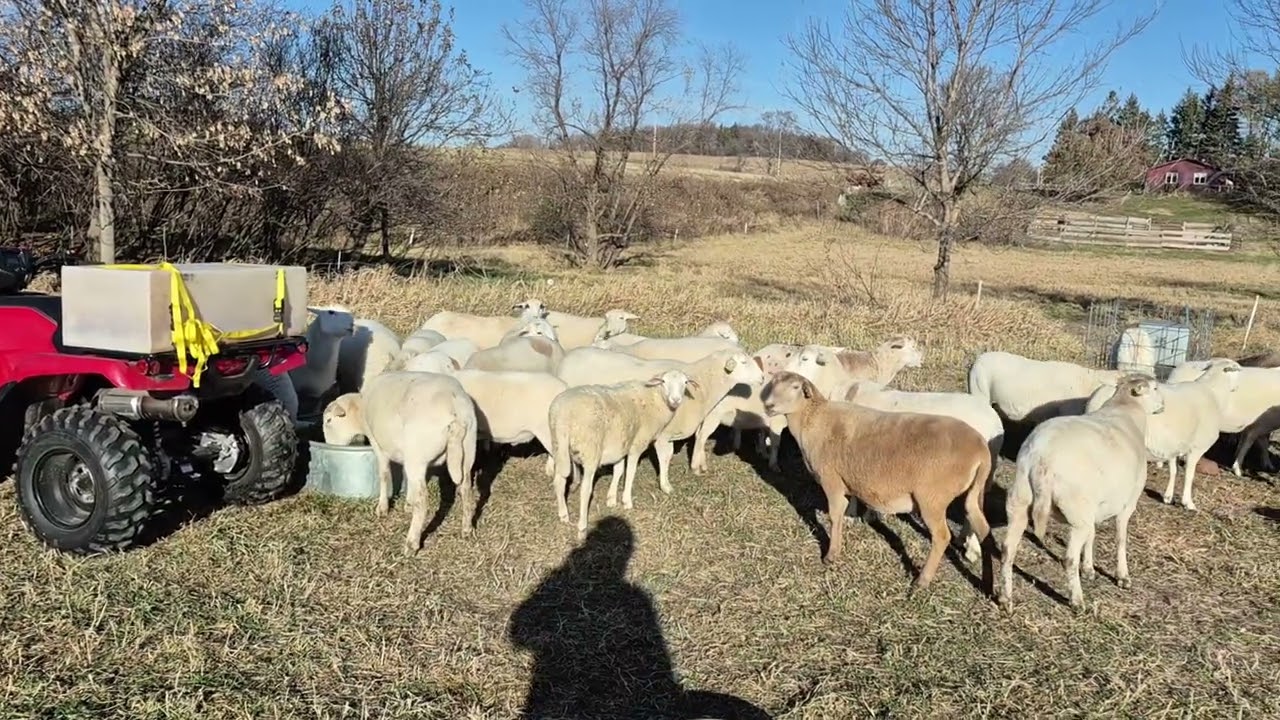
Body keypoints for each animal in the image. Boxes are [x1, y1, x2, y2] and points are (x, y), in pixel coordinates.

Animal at [321, 371, 478, 556]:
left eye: (328, 421)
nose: (329, 445)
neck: (360, 411)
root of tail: (454, 411)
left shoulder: (378, 444)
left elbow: (383, 474)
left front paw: (382, 508)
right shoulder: (406, 454)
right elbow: (405, 477)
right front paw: (408, 504)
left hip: (418, 454)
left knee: (423, 502)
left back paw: (411, 543)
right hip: (467, 450)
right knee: (466, 489)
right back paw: (466, 529)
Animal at [548, 369, 698, 538]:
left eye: (685, 382)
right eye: (664, 382)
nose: (676, 400)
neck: (655, 399)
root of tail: (563, 416)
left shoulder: (620, 445)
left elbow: (618, 471)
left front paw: (611, 499)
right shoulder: (636, 445)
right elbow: (630, 473)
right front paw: (626, 501)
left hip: (558, 446)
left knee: (559, 481)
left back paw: (563, 515)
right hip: (590, 451)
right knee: (585, 490)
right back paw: (582, 527)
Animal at [557, 347, 767, 494]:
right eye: (743, 362)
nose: (762, 378)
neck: (703, 386)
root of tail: (567, 357)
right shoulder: (664, 434)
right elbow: (665, 458)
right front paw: (666, 486)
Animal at [999, 374, 1166, 611]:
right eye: (1155, 388)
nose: (1163, 405)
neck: (1126, 409)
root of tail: (1042, 461)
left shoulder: (1094, 506)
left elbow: (1093, 534)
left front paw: (1088, 569)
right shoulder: (1127, 503)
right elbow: (1120, 538)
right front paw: (1122, 576)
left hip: (1020, 501)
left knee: (1007, 549)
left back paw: (1006, 599)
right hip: (1076, 511)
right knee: (1069, 559)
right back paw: (1077, 601)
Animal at [1085, 358, 1242, 510]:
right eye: (1237, 370)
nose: (1238, 388)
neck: (1214, 392)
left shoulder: (1173, 446)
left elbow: (1174, 471)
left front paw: (1168, 497)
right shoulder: (1196, 447)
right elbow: (1189, 475)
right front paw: (1188, 503)